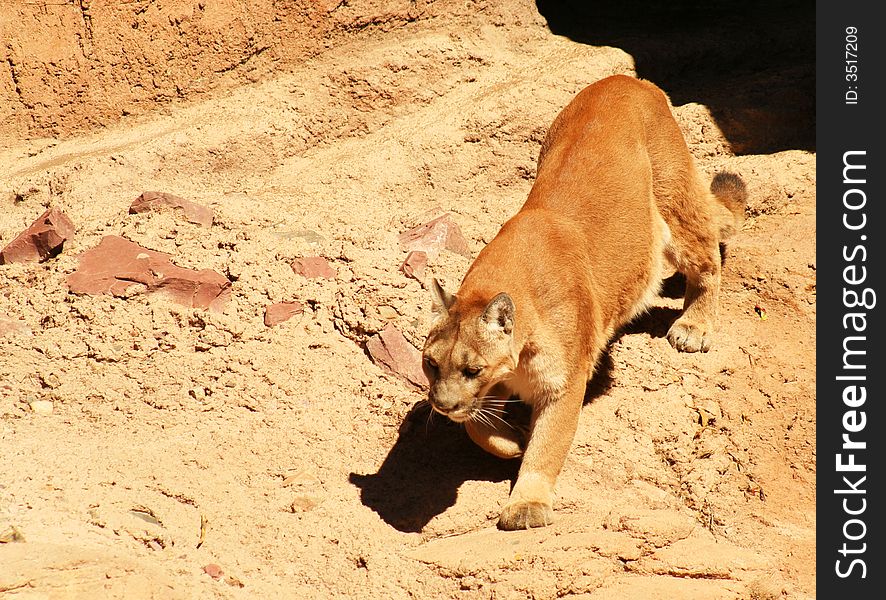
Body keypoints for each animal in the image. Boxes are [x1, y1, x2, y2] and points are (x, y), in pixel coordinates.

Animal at [424, 74, 748, 528]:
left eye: (473, 369)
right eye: (431, 364)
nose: (443, 404)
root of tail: (625, 78)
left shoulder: (564, 382)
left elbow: (549, 443)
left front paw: (527, 503)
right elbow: (478, 428)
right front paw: (512, 441)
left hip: (674, 199)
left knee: (706, 257)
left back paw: (693, 326)